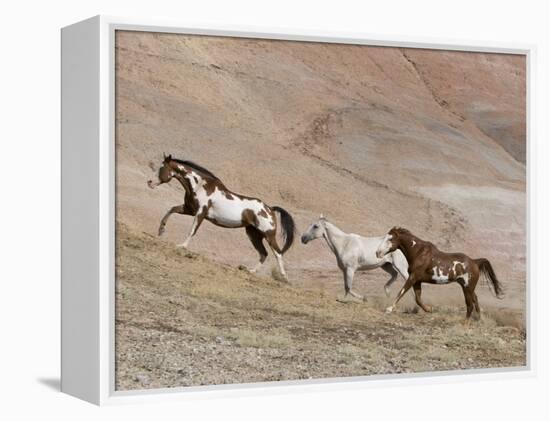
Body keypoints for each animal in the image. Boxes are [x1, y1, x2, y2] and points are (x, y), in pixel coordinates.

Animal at [148, 154, 298, 278]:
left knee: (277, 253)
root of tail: (270, 209)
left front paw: (182, 246)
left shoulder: (200, 212)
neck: (199, 185)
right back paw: (251, 271)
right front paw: (161, 230)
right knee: (263, 253)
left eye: (161, 168)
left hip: (268, 234)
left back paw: (283, 277)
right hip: (253, 234)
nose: (149, 182)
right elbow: (171, 209)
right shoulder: (189, 209)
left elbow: (192, 230)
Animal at [378, 226, 506, 318]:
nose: (377, 252)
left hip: (468, 287)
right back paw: (478, 317)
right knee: (475, 298)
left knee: (471, 303)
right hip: (466, 286)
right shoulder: (417, 280)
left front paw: (389, 309)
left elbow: (402, 292)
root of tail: (475, 262)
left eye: (390, 239)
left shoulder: (413, 277)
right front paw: (429, 309)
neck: (418, 253)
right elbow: (418, 299)